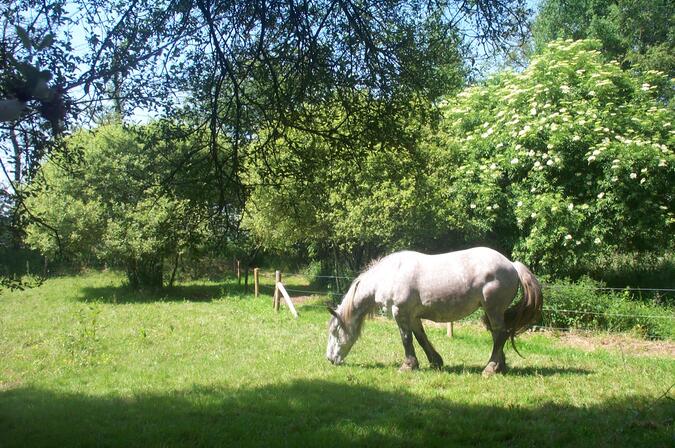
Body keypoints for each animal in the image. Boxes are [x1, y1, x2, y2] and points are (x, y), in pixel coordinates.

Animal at [326, 247, 543, 376]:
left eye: (335, 332)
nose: (329, 359)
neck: (389, 275)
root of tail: (512, 265)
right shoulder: (413, 316)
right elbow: (421, 337)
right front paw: (435, 361)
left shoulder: (400, 313)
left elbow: (406, 339)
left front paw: (408, 365)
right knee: (499, 335)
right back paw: (500, 365)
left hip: (493, 309)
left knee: (500, 334)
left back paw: (490, 368)